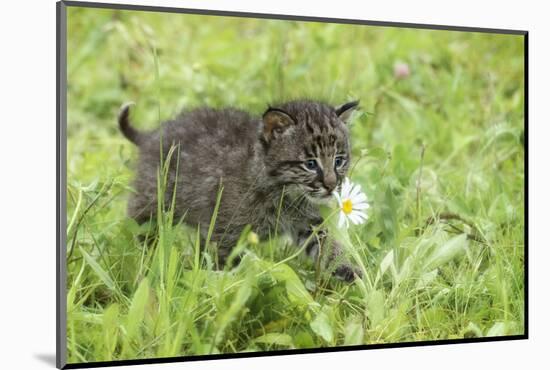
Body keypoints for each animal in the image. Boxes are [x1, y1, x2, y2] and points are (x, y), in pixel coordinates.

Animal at [118, 99, 364, 282]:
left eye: (339, 161)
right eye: (310, 164)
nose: (331, 185)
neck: (284, 194)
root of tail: (152, 134)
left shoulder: (310, 223)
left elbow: (329, 246)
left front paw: (349, 269)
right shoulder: (224, 233)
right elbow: (223, 267)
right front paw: (222, 290)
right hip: (153, 200)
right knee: (137, 222)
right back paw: (145, 255)